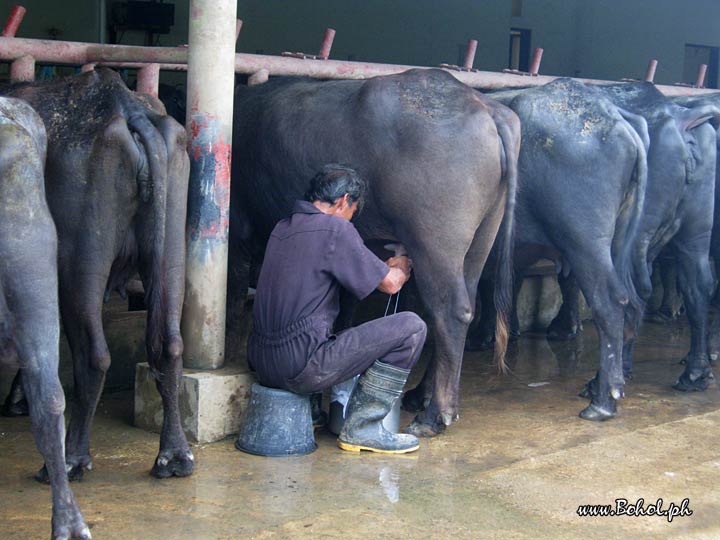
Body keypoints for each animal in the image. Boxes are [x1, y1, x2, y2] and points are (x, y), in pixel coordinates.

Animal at [0, 69, 193, 478]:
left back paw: (70, 457)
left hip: (80, 265)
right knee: (168, 344)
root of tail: (128, 108)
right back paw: (174, 455)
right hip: (170, 253)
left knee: (93, 354)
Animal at [229, 69, 516, 436]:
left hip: (435, 244)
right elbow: (343, 311)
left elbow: (234, 305)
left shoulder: (237, 236)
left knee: (450, 312)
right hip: (480, 240)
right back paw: (420, 396)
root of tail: (482, 105)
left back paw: (434, 415)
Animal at [470, 78, 648, 420]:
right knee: (632, 303)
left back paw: (603, 401)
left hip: (585, 243)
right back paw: (602, 383)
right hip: (618, 243)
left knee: (610, 303)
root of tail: (616, 118)